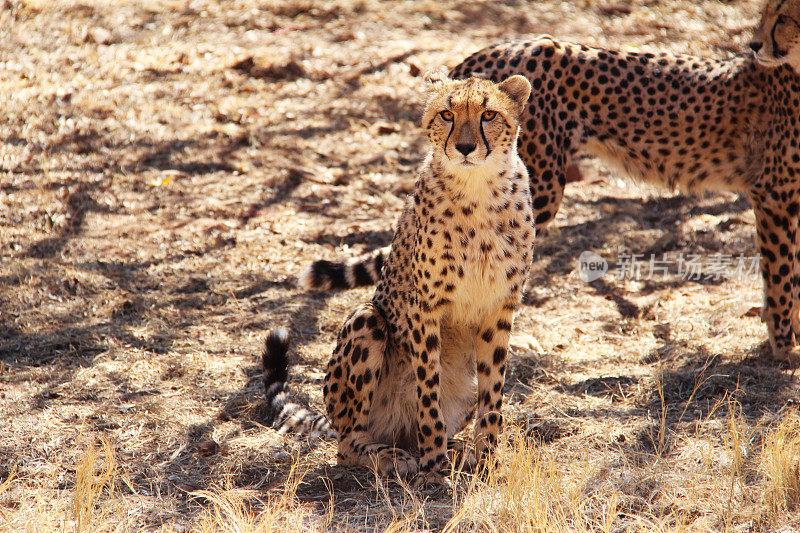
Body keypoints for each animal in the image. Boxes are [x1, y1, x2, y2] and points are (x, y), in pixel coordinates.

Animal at [266, 71, 536, 478]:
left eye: (489, 114)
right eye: (446, 114)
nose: (466, 147)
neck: (477, 188)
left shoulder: (499, 308)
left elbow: (493, 395)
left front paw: (486, 459)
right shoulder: (425, 307)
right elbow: (428, 390)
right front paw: (434, 463)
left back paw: (452, 449)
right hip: (366, 320)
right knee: (347, 445)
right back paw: (392, 456)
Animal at [304, 0, 800, 362]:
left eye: (782, 16)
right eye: (768, 15)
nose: (755, 45)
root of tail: (486, 53)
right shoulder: (776, 196)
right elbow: (781, 276)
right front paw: (784, 349)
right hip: (539, 187)